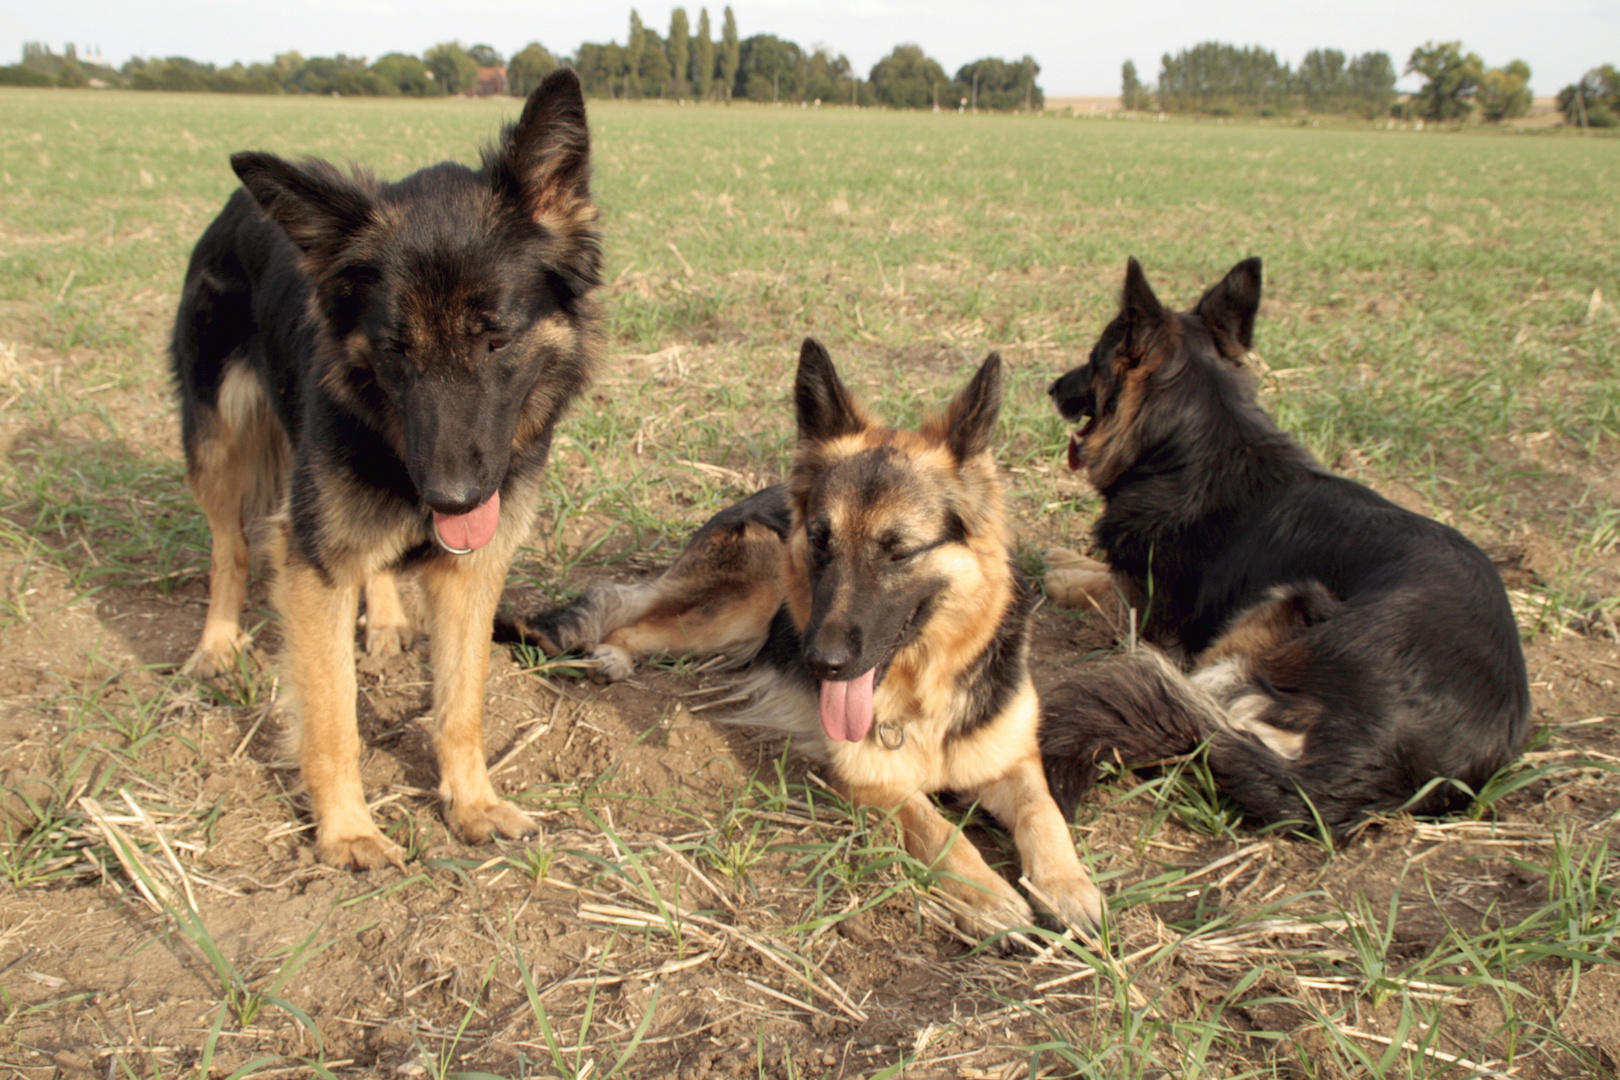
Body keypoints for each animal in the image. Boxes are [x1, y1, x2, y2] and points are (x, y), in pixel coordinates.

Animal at [170, 69, 605, 867]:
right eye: (395, 349)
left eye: (497, 340)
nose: (450, 497)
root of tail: (236, 205)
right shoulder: (313, 562)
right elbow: (332, 716)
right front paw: (347, 830)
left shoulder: (475, 566)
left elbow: (461, 705)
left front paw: (472, 805)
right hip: (217, 444)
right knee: (229, 547)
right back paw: (216, 645)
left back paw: (386, 619)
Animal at [498, 341, 1108, 939]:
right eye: (820, 540)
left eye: (898, 552)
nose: (821, 663)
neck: (923, 690)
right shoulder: (874, 784)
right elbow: (939, 830)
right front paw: (987, 895)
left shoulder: (1016, 760)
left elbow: (1044, 812)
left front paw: (1068, 886)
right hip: (740, 607)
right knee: (629, 613)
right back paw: (612, 655)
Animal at [1036, 259, 1529, 835]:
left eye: (1093, 361)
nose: (1051, 387)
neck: (1201, 441)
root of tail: (1380, 759)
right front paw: (1059, 559)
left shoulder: (1145, 606)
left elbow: (1101, 583)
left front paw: (1059, 572)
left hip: (1287, 606)